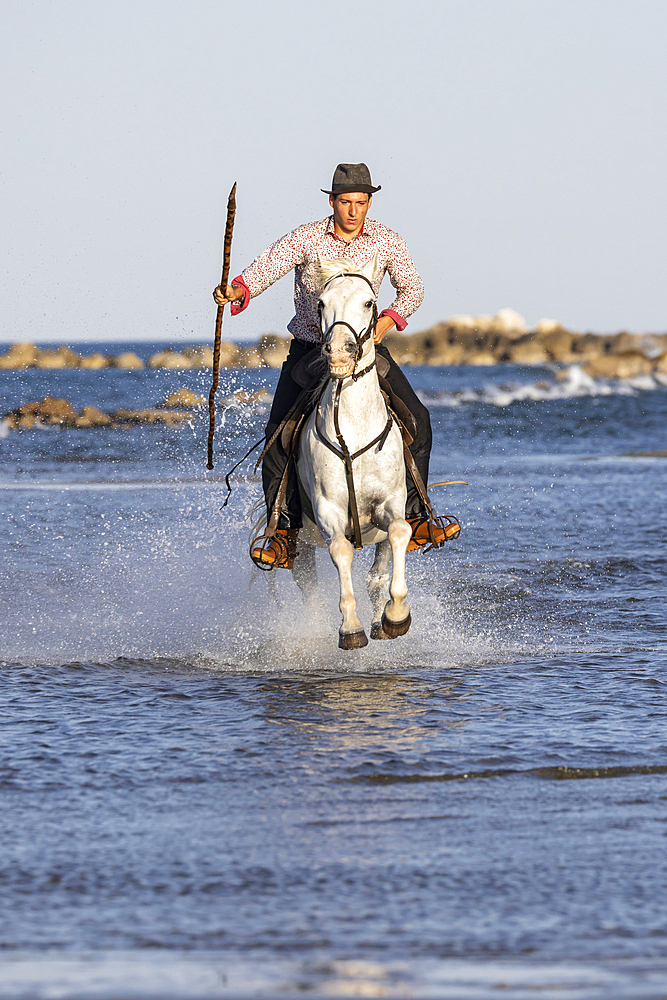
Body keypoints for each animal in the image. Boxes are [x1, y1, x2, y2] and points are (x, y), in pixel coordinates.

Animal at [296, 254, 412, 652]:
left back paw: (381, 621)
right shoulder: (328, 508)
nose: (338, 353)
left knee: (377, 572)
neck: (355, 425)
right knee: (308, 584)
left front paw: (396, 615)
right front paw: (350, 627)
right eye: (320, 303)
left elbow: (400, 532)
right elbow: (342, 552)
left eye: (368, 302)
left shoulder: (390, 501)